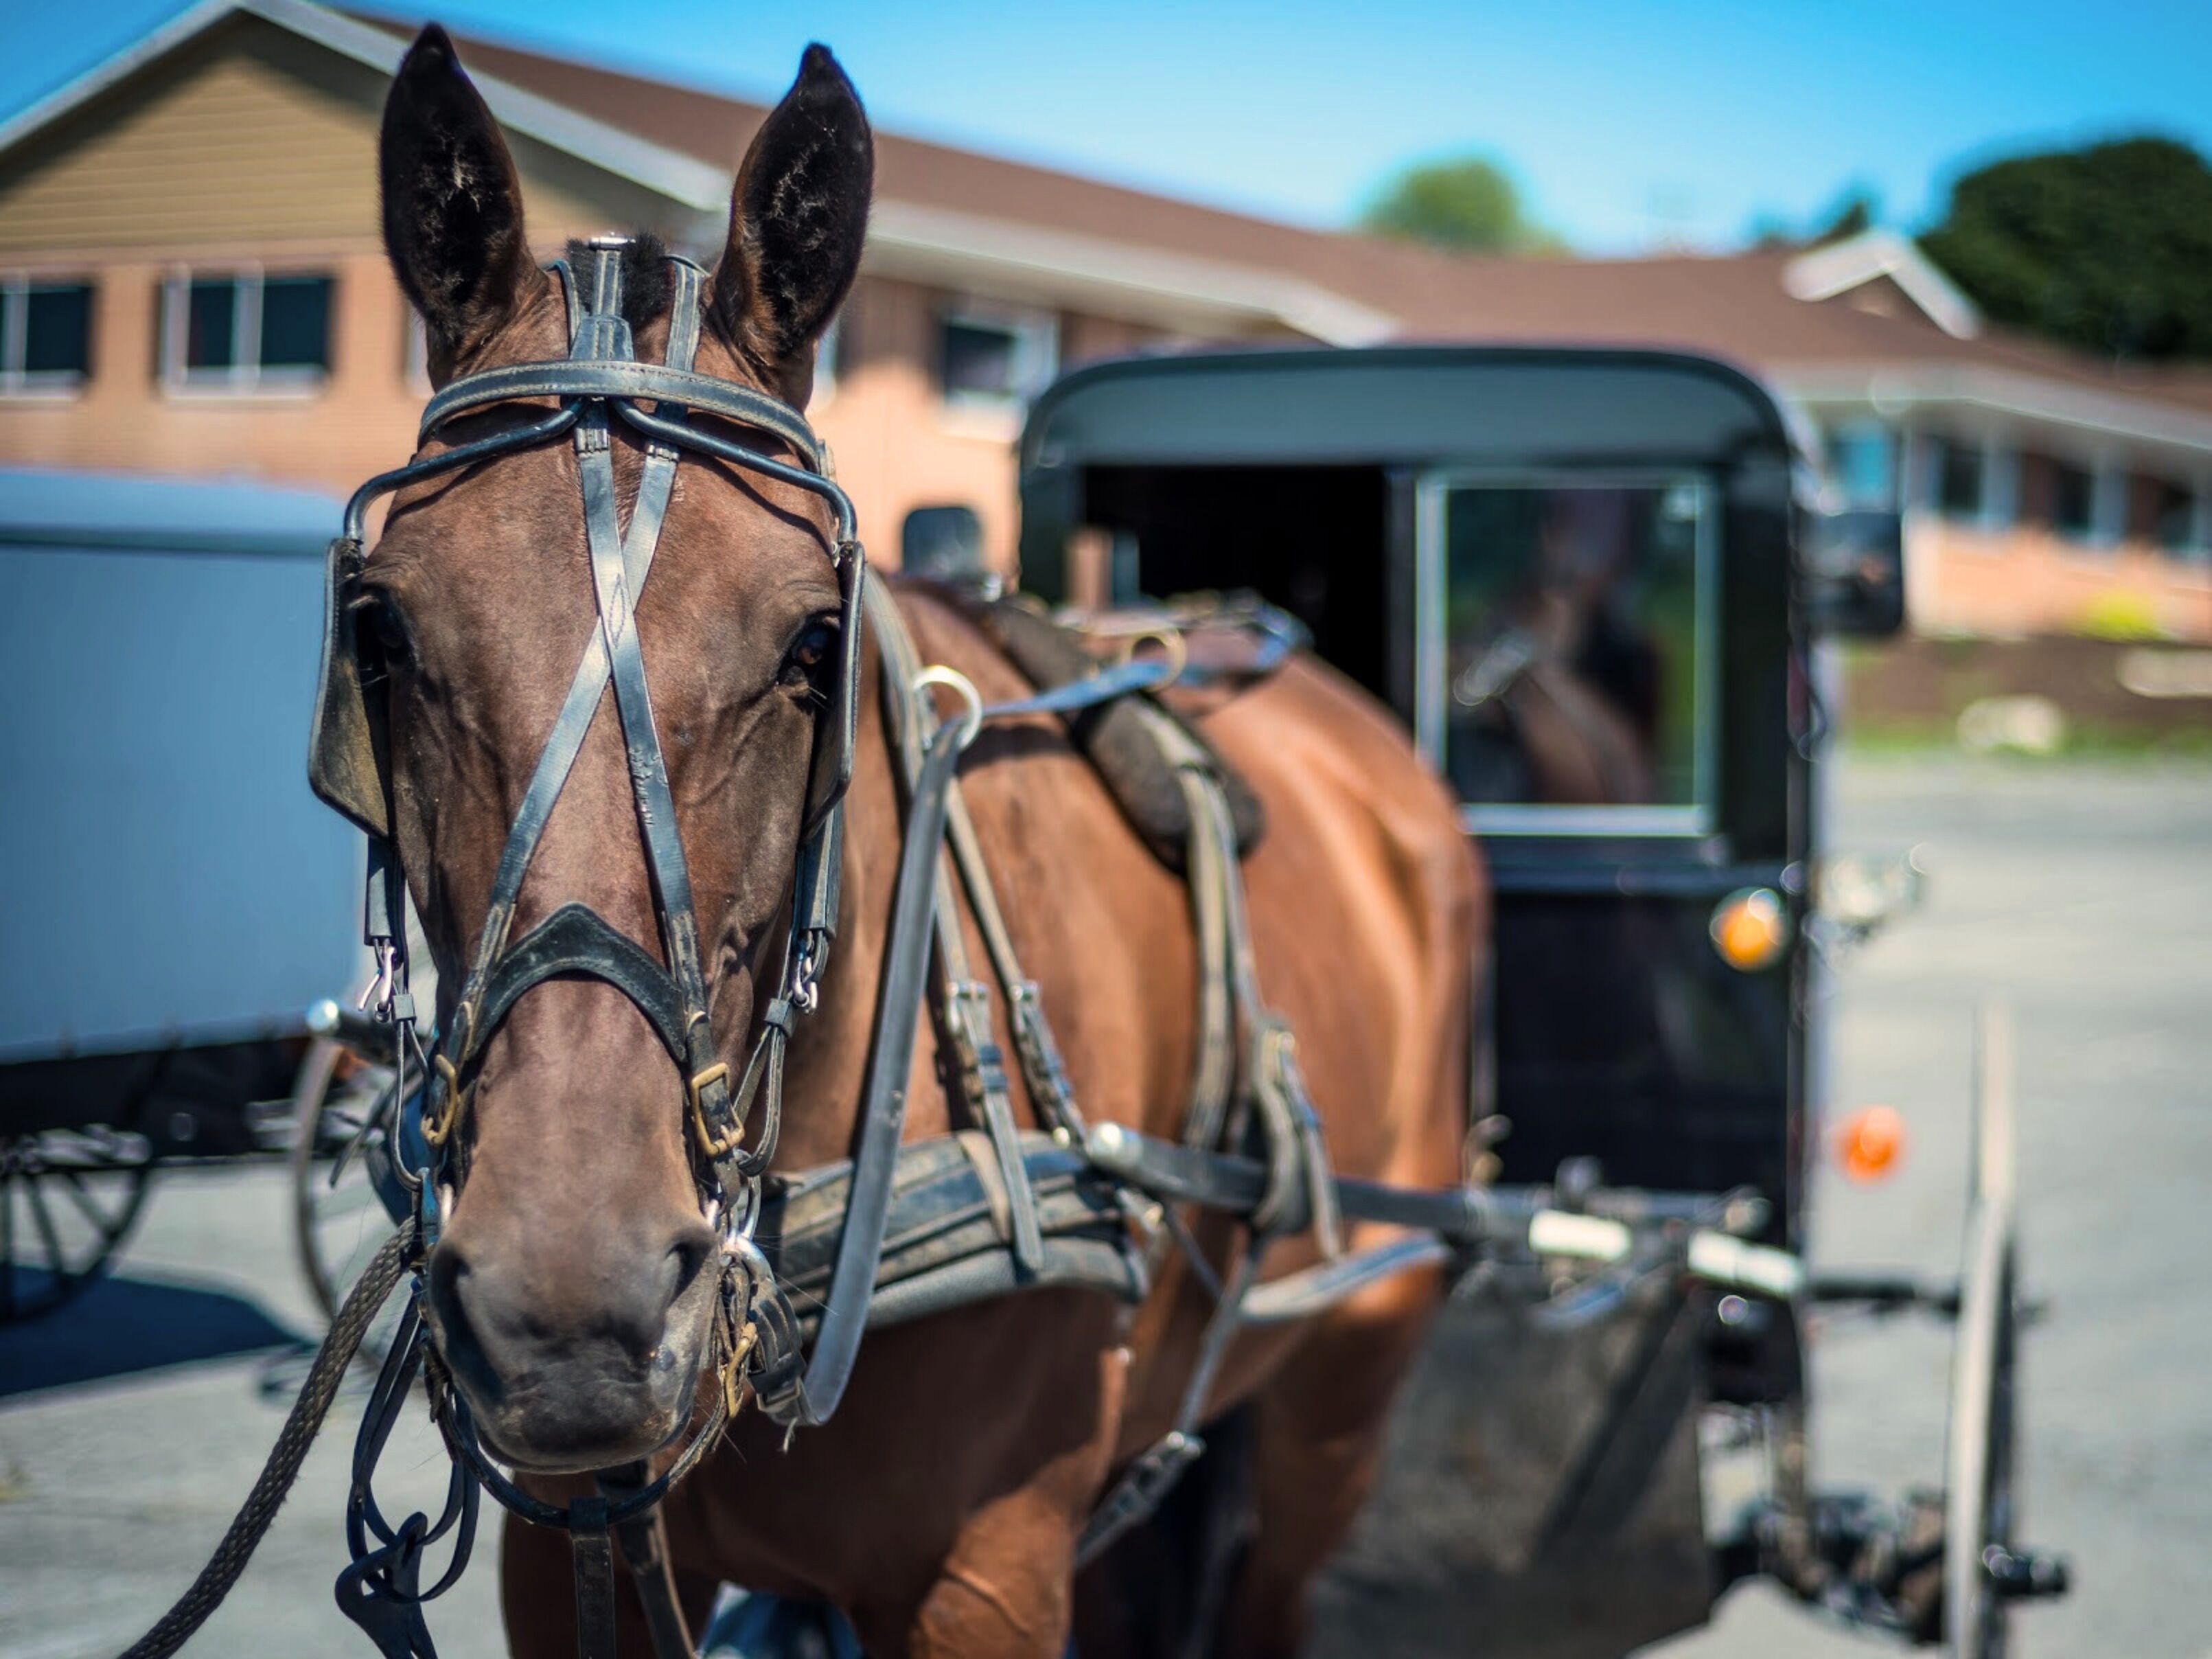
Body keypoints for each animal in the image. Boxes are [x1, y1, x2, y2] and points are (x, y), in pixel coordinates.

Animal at [364, 29, 1482, 1657]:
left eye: (812, 645)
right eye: (380, 632)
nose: (569, 1304)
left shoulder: (985, 1575)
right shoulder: (566, 1565)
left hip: (1343, 1385)